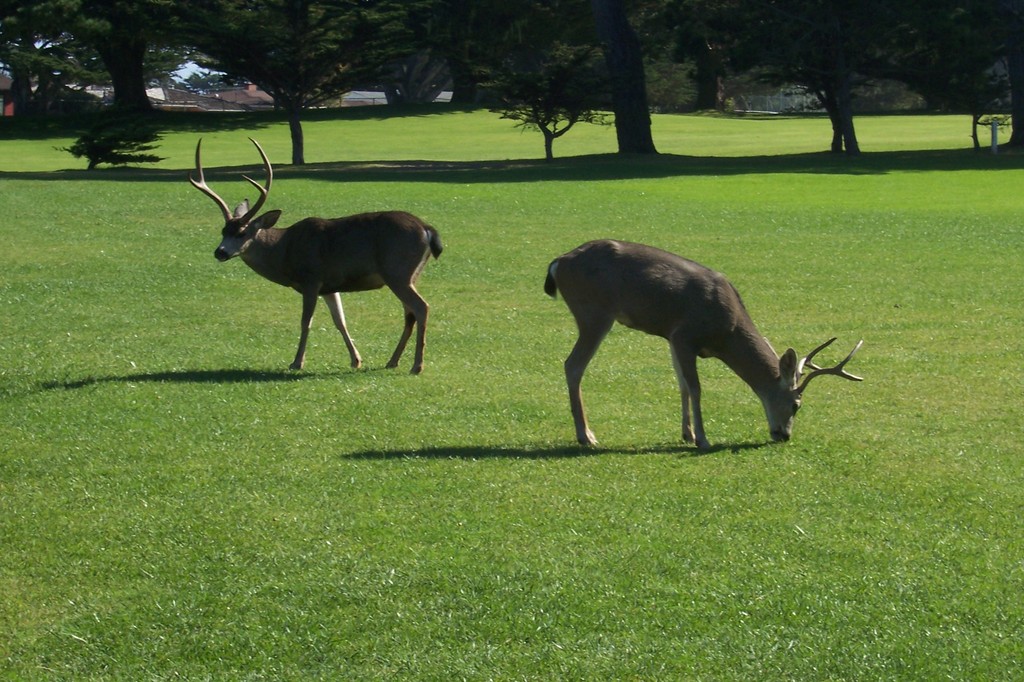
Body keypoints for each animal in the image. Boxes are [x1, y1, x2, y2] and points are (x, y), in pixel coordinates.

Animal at [190, 137, 442, 372]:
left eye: (241, 233)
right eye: (223, 231)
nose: (220, 252)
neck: (284, 252)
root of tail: (427, 229)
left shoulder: (311, 278)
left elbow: (306, 322)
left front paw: (297, 362)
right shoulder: (330, 286)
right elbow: (340, 321)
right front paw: (356, 360)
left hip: (397, 271)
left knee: (421, 307)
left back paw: (417, 365)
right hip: (410, 274)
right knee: (409, 312)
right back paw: (392, 361)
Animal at [544, 236, 864, 448]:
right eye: (797, 405)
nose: (784, 435)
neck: (727, 332)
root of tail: (557, 263)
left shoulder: (672, 338)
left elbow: (683, 385)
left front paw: (687, 434)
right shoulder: (685, 335)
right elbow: (696, 387)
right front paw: (703, 439)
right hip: (594, 313)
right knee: (573, 365)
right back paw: (586, 436)